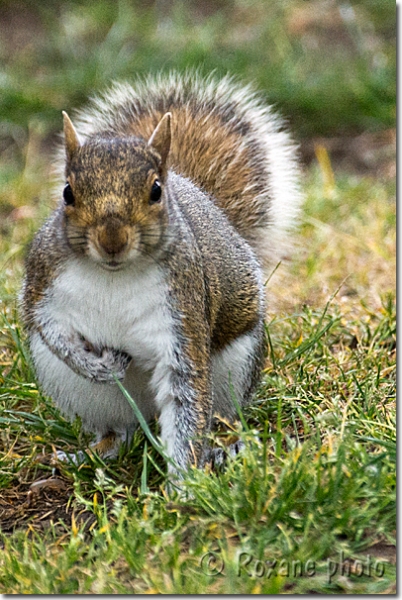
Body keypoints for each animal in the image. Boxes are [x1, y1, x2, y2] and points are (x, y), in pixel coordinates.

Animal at [19, 72, 302, 478]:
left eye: (155, 191)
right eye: (67, 192)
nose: (112, 241)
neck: (113, 274)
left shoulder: (183, 317)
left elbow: (187, 402)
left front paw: (185, 482)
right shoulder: (43, 283)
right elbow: (50, 328)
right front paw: (94, 364)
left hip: (235, 370)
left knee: (211, 417)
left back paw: (220, 449)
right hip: (80, 391)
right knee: (119, 430)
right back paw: (93, 453)